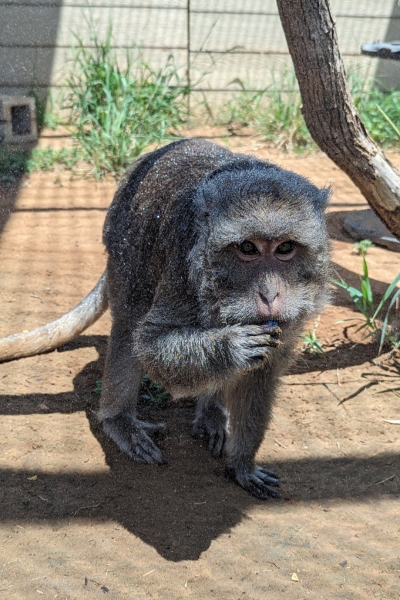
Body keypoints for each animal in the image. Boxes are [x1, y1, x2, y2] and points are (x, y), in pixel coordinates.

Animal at [0, 138, 332, 500]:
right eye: (248, 248)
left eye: (285, 248)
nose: (270, 296)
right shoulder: (183, 269)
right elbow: (150, 346)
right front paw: (232, 346)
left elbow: (262, 373)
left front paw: (242, 464)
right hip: (124, 241)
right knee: (129, 323)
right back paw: (119, 420)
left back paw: (211, 410)